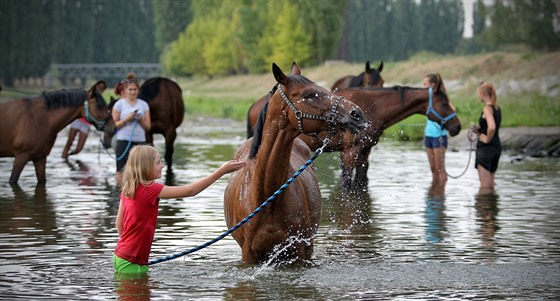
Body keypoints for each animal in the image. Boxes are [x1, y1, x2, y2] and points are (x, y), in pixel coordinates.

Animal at [300, 83, 462, 189]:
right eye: (445, 104)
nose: (457, 127)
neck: (371, 107)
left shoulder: (364, 150)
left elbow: (361, 180)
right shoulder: (350, 151)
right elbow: (346, 183)